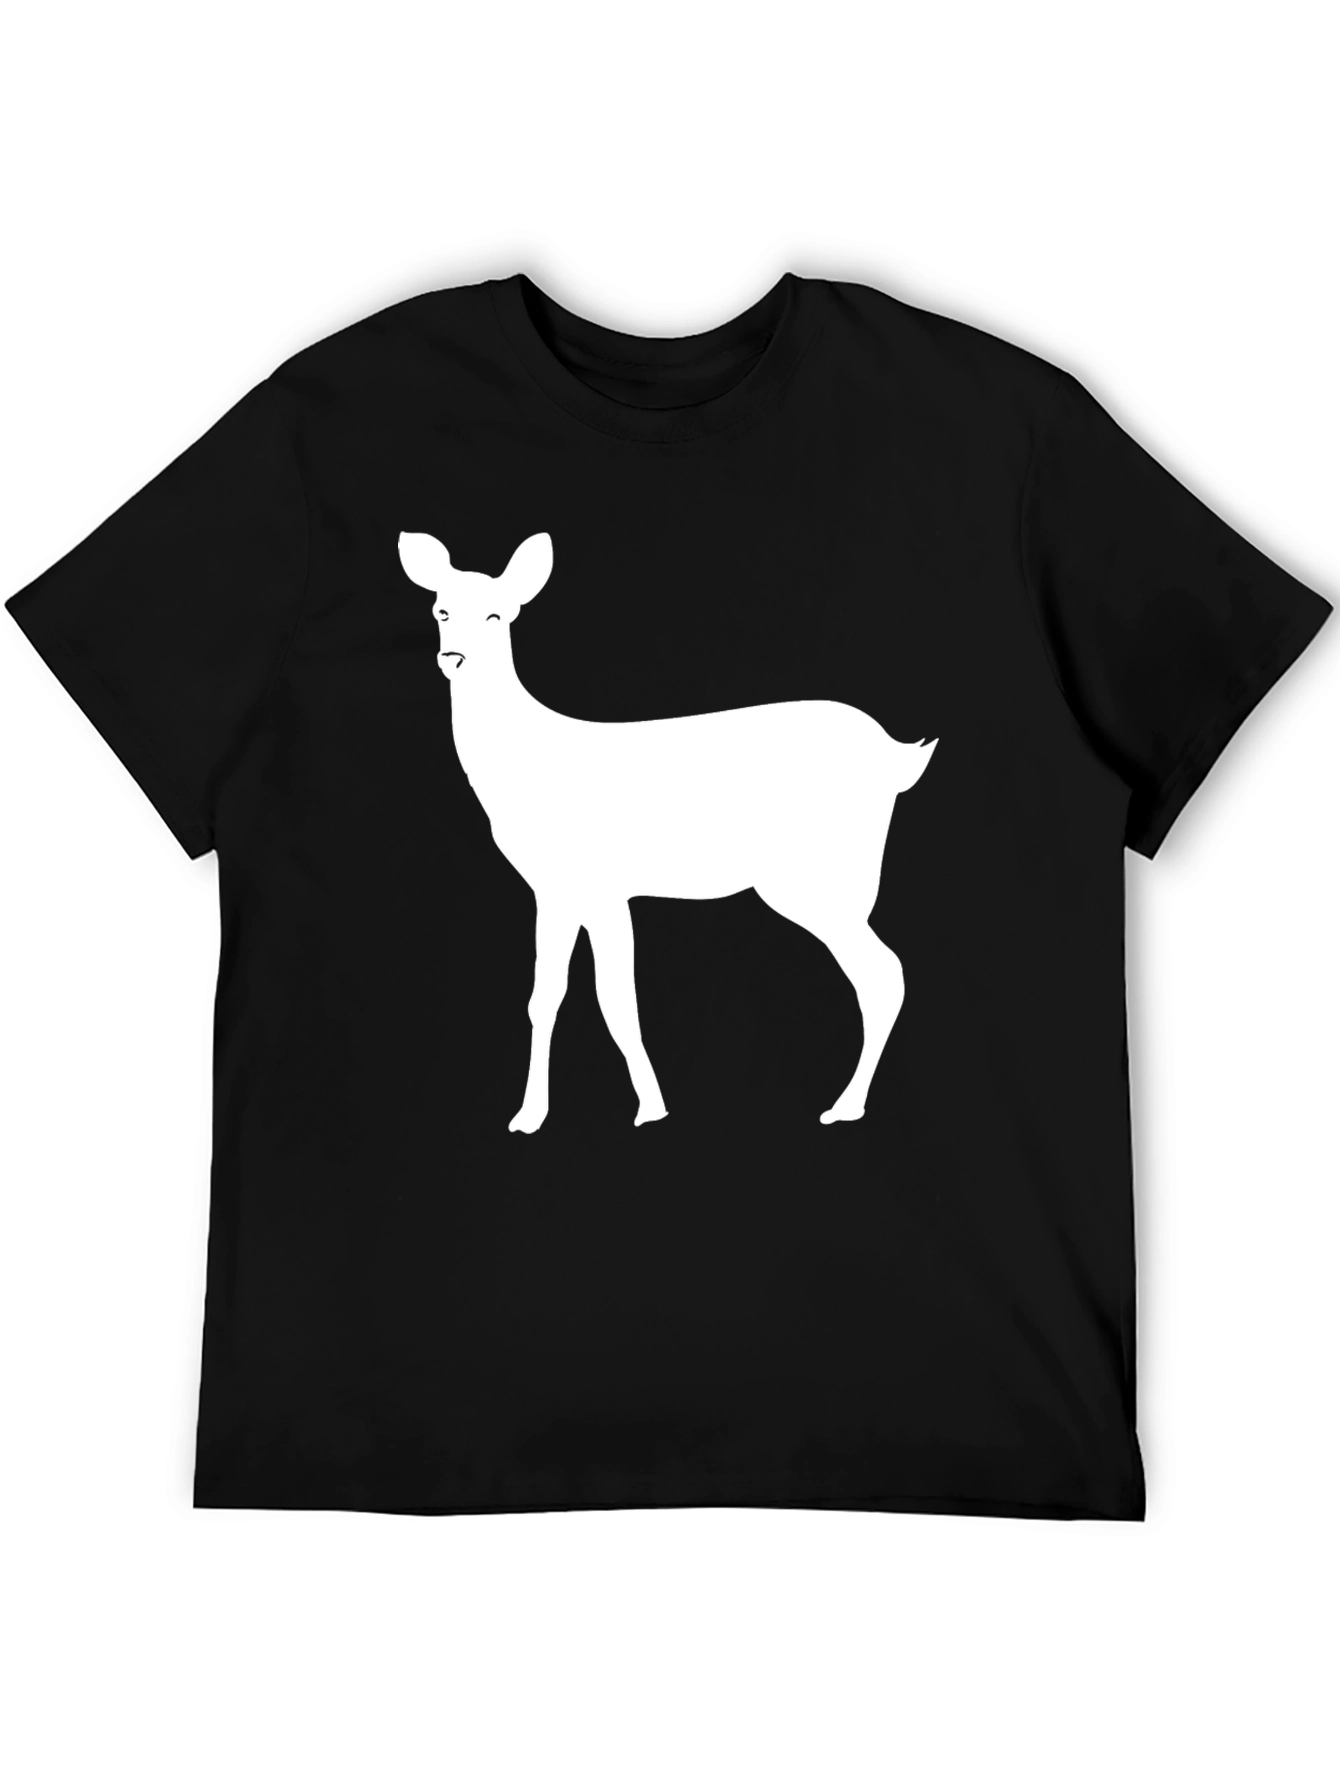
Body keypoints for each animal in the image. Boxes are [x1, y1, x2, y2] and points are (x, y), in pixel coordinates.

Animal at [399, 530, 937, 1133]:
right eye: (442, 611)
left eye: (497, 614)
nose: (454, 657)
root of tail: (898, 758)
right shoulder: (552, 889)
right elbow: (545, 996)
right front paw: (529, 1116)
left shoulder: (603, 885)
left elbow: (615, 998)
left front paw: (650, 1107)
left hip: (814, 876)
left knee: (884, 972)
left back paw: (844, 1106)